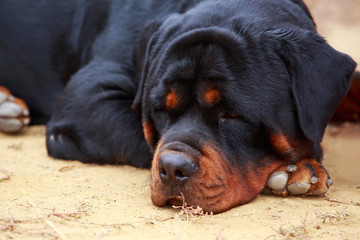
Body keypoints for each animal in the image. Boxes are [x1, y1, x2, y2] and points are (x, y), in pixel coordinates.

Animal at [0, 0, 358, 214]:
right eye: (160, 109)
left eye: (232, 115)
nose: (172, 168)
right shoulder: (85, 100)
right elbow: (140, 136)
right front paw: (300, 167)